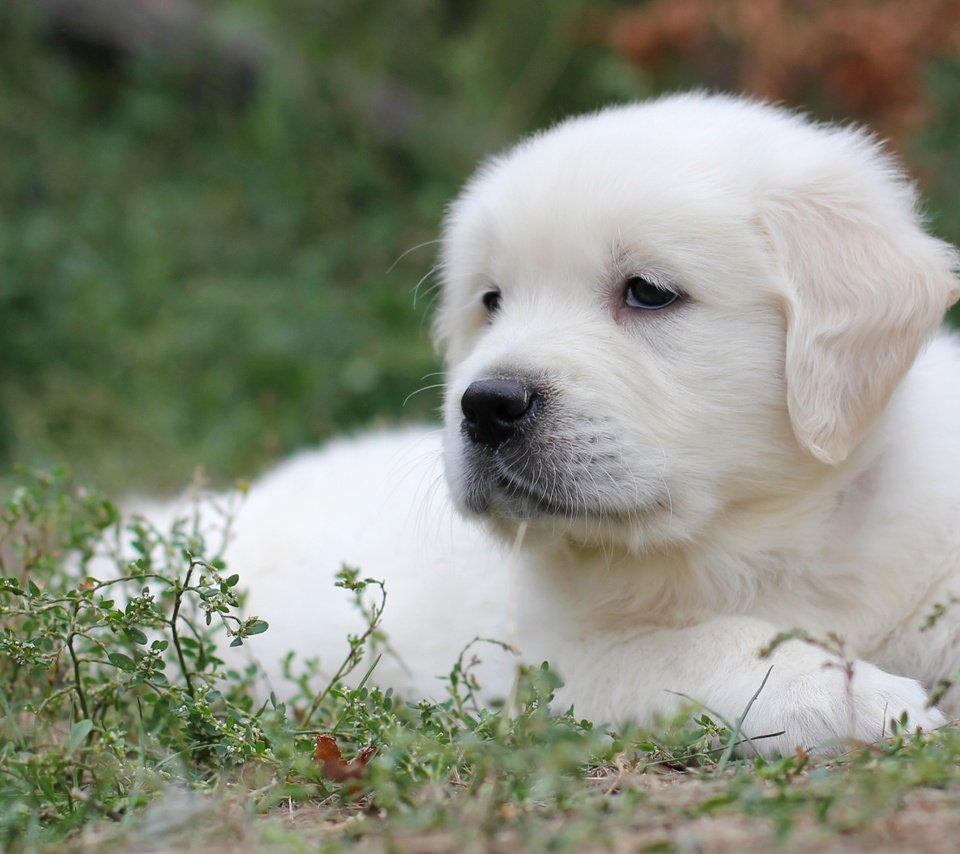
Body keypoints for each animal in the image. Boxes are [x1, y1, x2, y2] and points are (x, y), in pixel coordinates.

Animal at [204, 95, 960, 756]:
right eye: (491, 302)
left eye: (649, 292)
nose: (486, 405)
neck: (773, 537)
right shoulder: (553, 658)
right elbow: (700, 645)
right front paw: (848, 697)